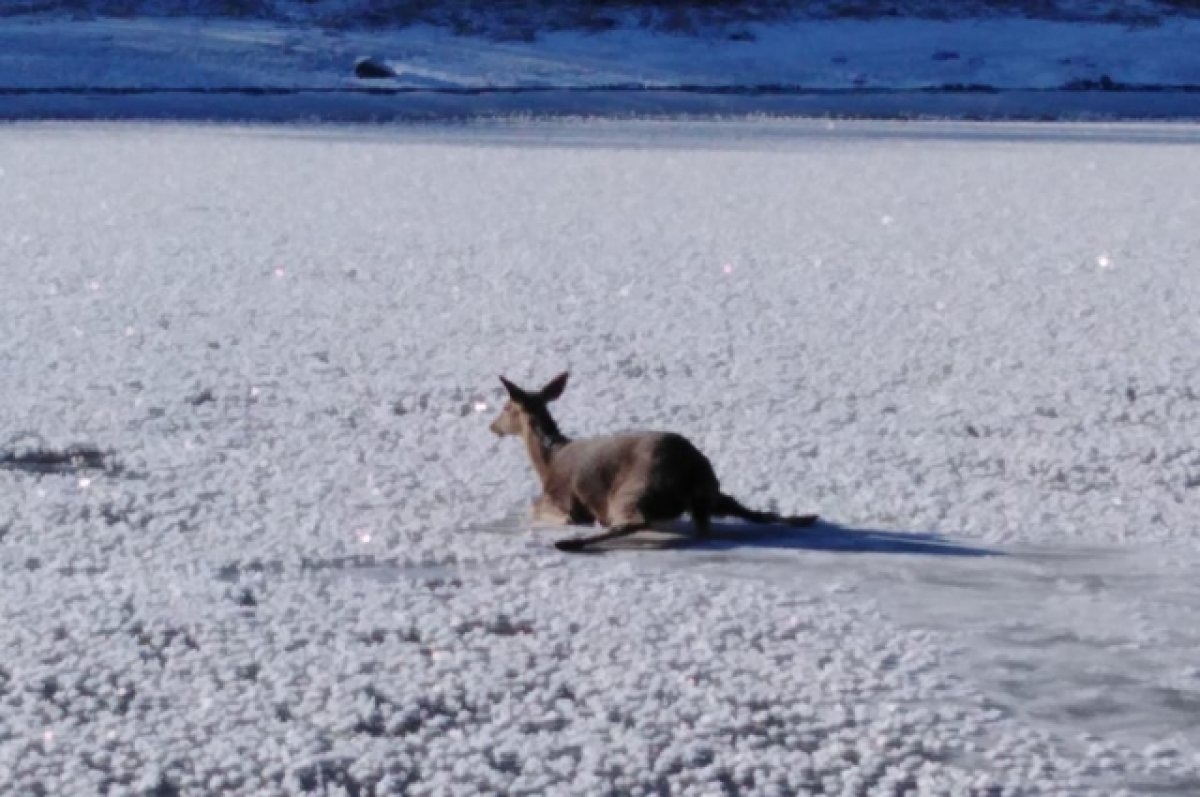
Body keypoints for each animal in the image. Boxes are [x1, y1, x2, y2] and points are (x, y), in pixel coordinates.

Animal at [487, 374, 816, 554]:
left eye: (505, 407)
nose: (492, 426)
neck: (548, 459)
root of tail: (692, 472)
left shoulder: (560, 498)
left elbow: (545, 511)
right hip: (712, 492)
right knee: (751, 512)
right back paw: (806, 518)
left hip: (635, 488)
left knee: (634, 521)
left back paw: (572, 544)